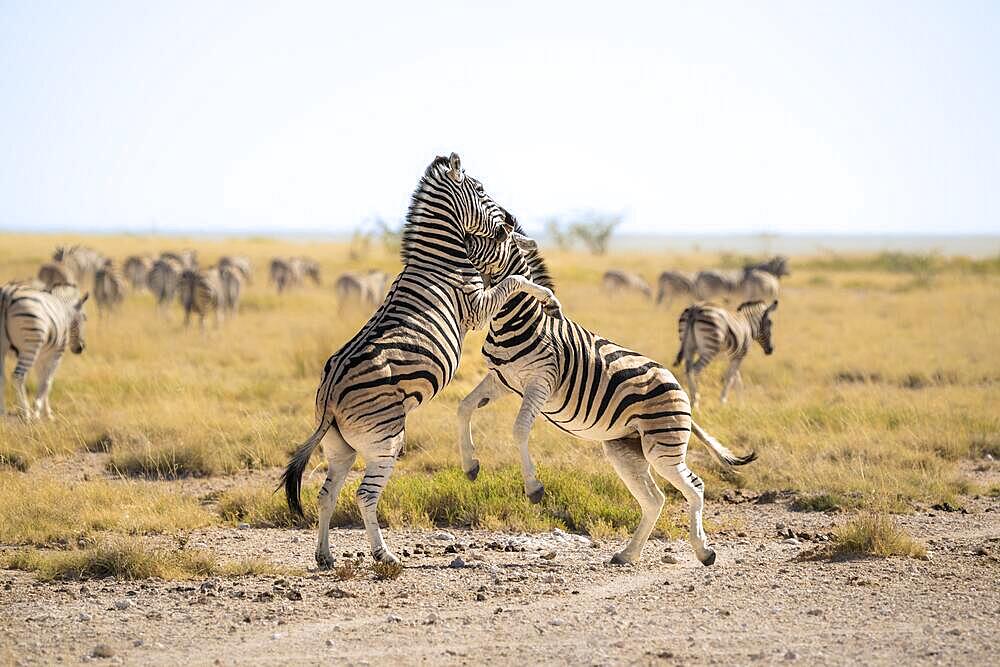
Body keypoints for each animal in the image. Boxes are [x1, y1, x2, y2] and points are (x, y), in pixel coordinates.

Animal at [282, 154, 564, 572]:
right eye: (482, 189)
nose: (512, 220)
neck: (441, 258)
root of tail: (330, 394)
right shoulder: (477, 305)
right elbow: (514, 281)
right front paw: (547, 297)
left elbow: (513, 278)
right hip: (386, 438)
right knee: (365, 494)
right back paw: (384, 556)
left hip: (340, 447)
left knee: (326, 493)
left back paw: (325, 556)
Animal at [458, 227, 752, 568]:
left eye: (495, 235)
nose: (463, 241)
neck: (518, 321)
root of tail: (679, 388)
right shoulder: (502, 380)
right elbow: (464, 406)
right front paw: (470, 465)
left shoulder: (540, 381)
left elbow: (519, 429)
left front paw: (533, 488)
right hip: (625, 449)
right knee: (655, 499)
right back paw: (628, 554)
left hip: (662, 447)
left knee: (695, 488)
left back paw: (704, 551)